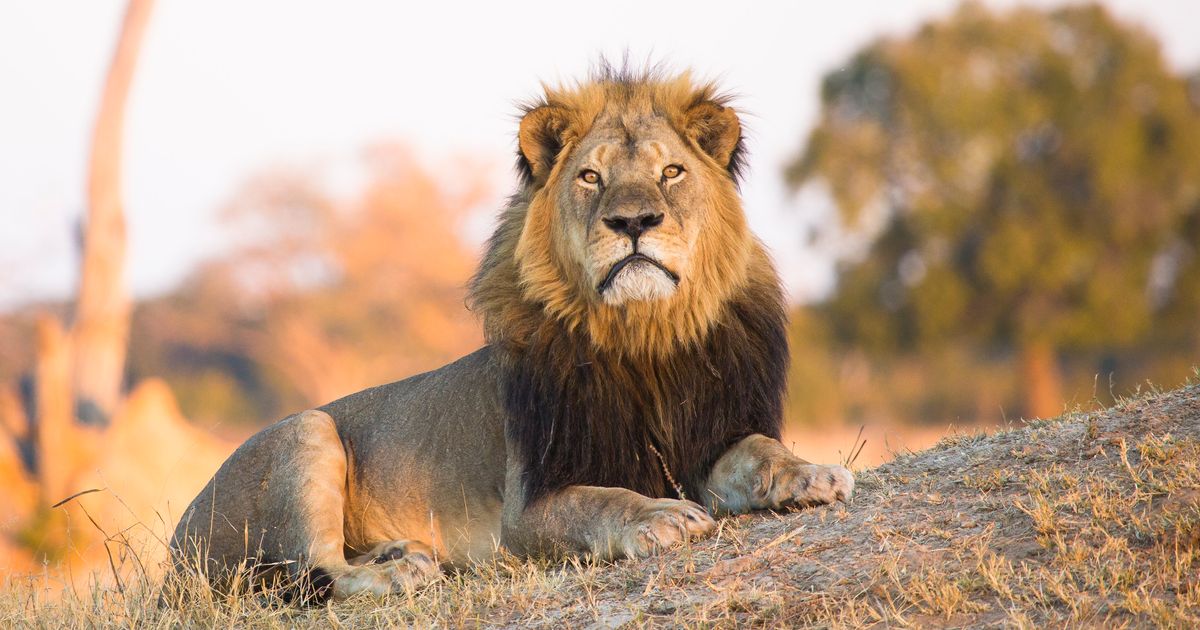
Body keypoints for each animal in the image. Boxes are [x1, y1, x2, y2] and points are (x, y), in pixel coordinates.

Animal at [174, 66, 859, 602]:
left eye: (671, 172)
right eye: (590, 177)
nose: (634, 221)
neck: (642, 337)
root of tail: (176, 550)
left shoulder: (710, 437)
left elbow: (760, 451)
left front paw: (811, 474)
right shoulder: (526, 508)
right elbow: (602, 499)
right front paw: (658, 514)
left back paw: (399, 551)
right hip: (306, 429)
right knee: (320, 572)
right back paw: (400, 572)